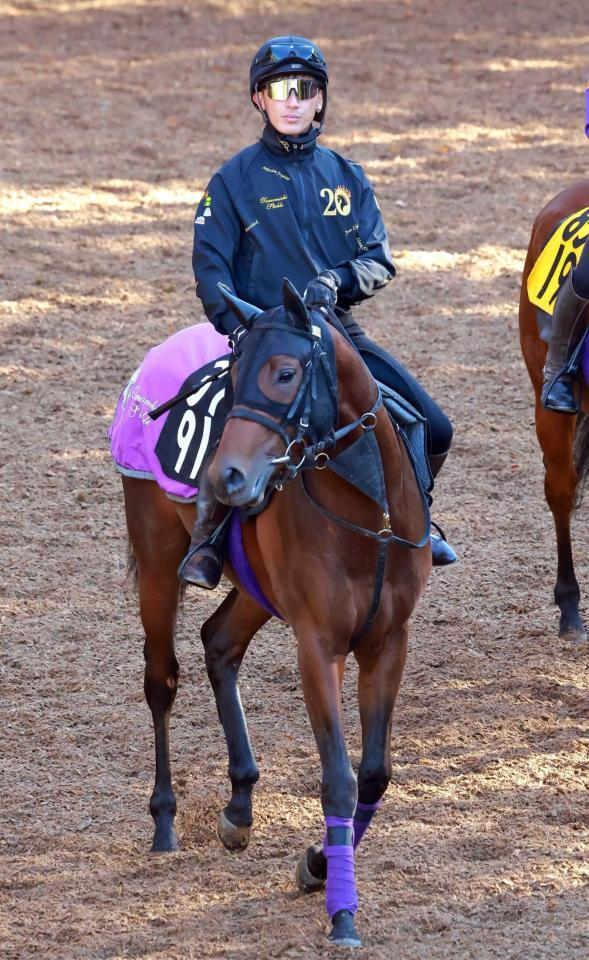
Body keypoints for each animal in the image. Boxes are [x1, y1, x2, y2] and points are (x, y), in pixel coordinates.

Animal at [120, 278, 432, 944]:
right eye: (234, 376)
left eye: (286, 373)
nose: (225, 477)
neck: (372, 519)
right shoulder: (318, 644)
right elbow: (338, 779)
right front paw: (341, 910)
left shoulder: (389, 640)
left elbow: (374, 773)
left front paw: (318, 865)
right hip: (157, 561)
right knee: (161, 679)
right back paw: (165, 820)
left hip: (256, 588)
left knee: (218, 642)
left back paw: (240, 803)